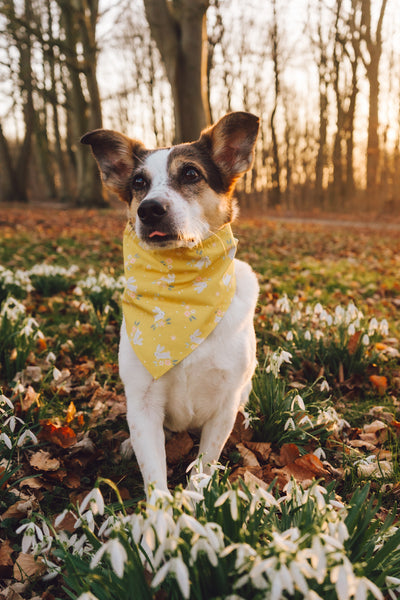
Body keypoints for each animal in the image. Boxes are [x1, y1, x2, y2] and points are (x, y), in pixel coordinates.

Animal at [82, 110, 260, 494]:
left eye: (191, 173)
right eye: (138, 182)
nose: (150, 210)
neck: (182, 297)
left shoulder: (224, 404)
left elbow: (204, 465)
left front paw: (197, 500)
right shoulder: (144, 403)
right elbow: (155, 476)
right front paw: (162, 511)